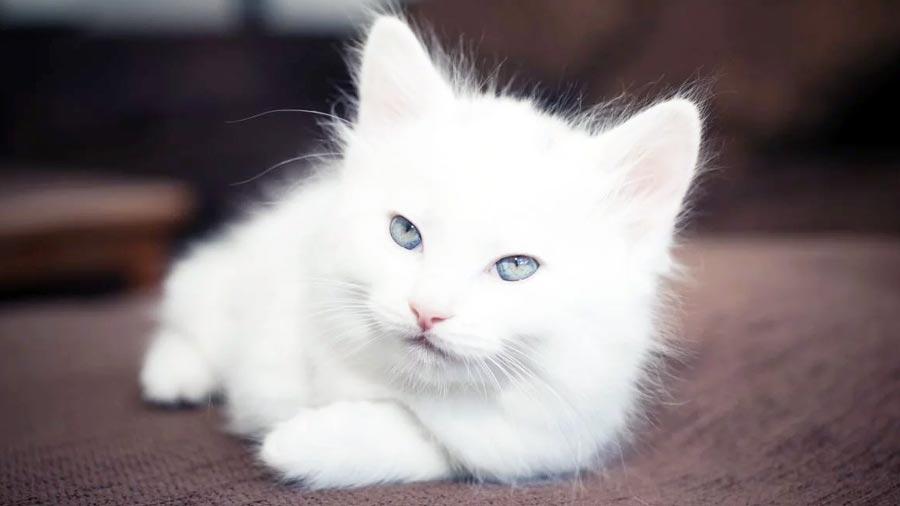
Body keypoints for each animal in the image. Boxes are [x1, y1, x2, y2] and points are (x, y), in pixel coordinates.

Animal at [139, 15, 704, 490]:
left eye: (515, 267)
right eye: (405, 233)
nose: (427, 311)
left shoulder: (546, 441)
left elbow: (426, 442)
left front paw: (300, 441)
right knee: (194, 297)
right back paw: (174, 376)